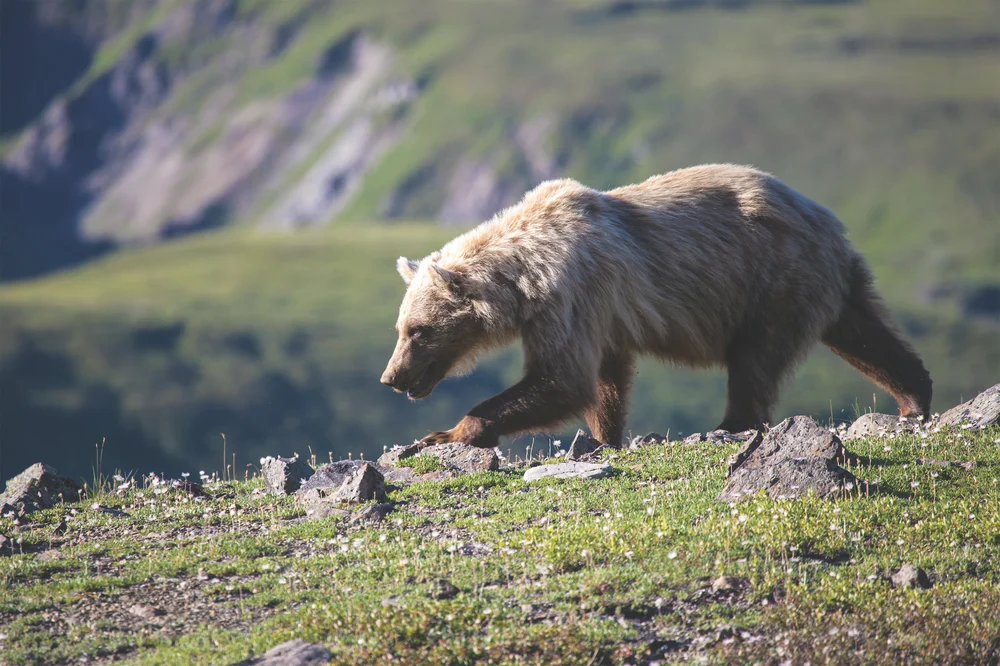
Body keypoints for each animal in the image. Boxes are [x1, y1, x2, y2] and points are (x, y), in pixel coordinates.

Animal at [380, 163, 932, 449]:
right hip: (829, 281)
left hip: (771, 281)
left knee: (755, 361)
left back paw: (729, 424)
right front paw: (604, 436)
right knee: (864, 334)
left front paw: (445, 433)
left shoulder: (571, 292)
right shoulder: (599, 311)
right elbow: (604, 380)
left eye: (418, 330)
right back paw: (914, 396)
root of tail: (828, 220)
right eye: (401, 328)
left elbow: (562, 377)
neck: (524, 278)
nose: (391, 377)